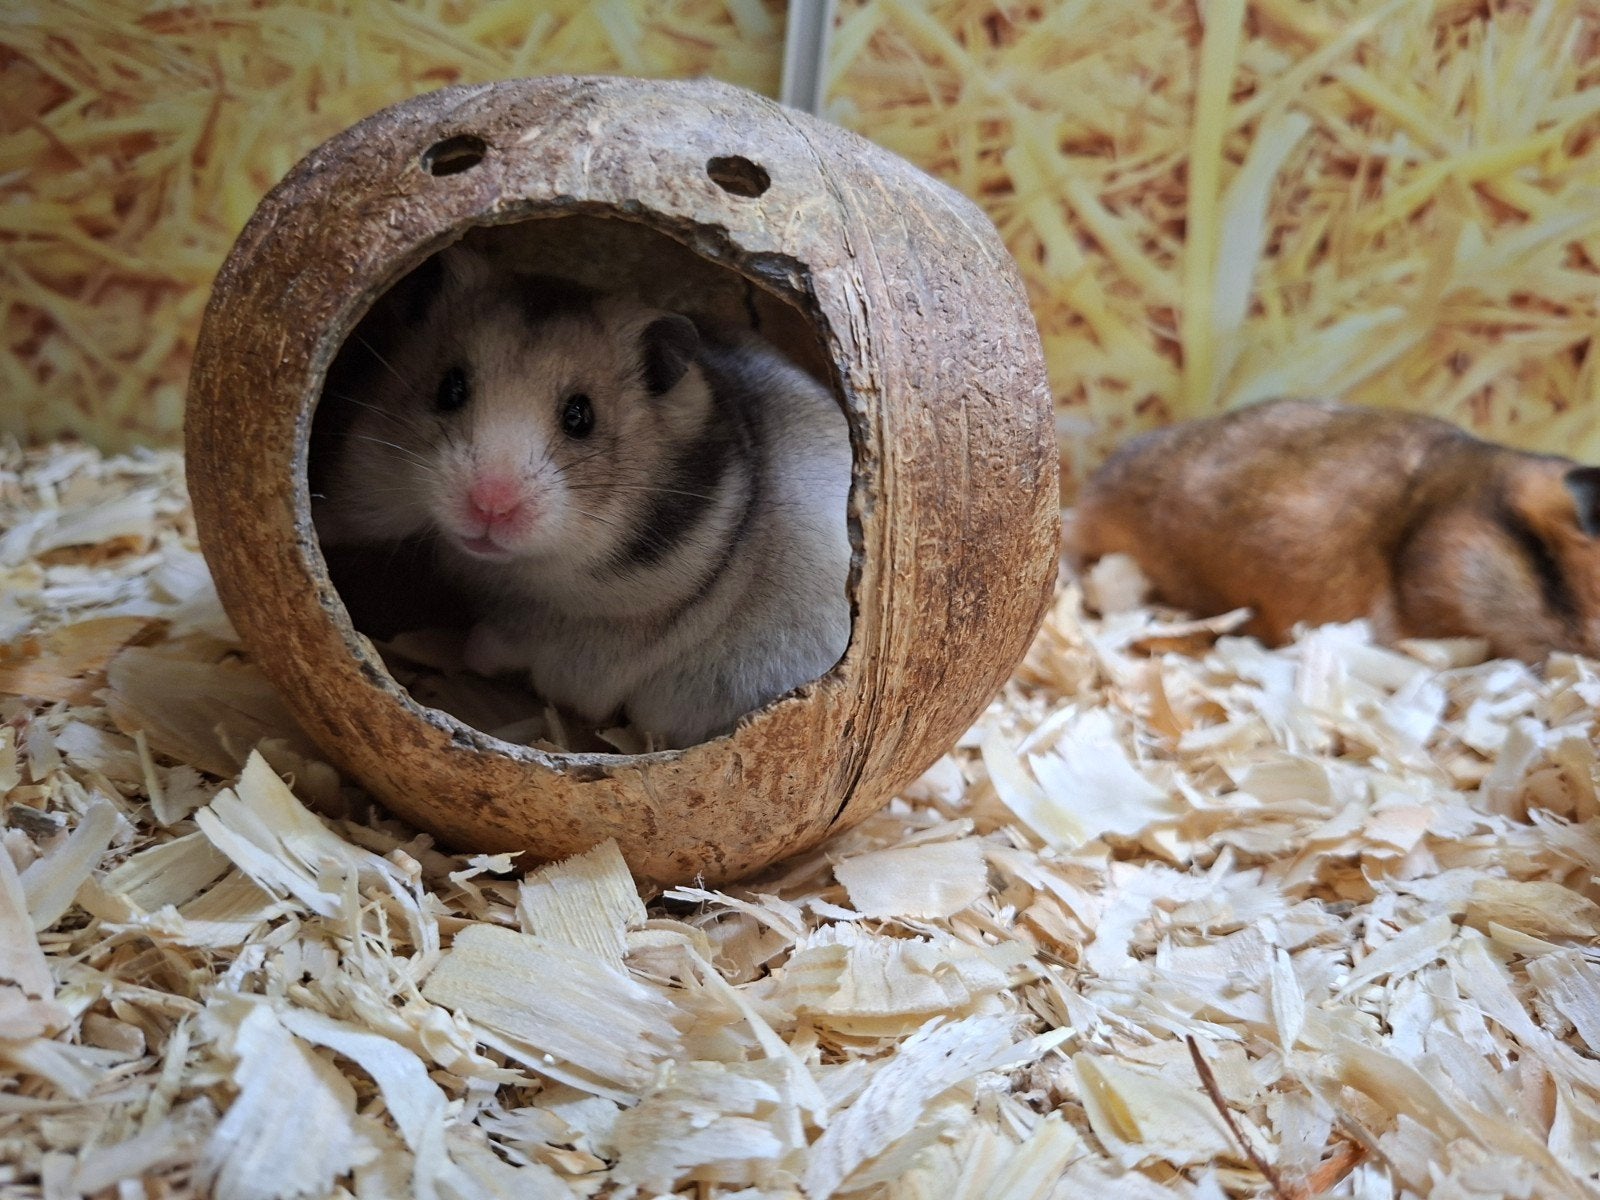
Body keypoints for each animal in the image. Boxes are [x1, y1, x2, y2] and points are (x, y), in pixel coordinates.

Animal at [313, 247, 852, 748]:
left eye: (580, 416)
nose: (490, 506)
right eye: (450, 387)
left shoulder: (588, 649)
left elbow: (507, 645)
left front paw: (468, 647)